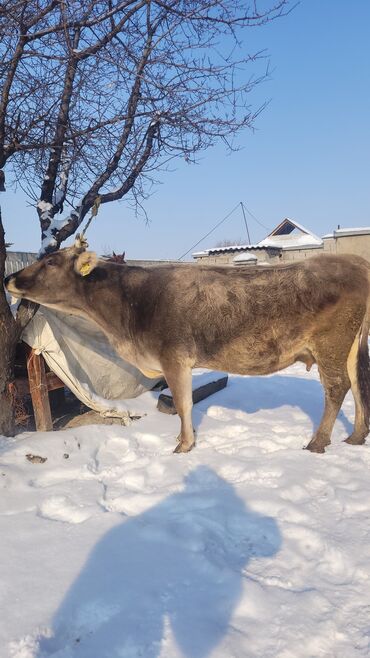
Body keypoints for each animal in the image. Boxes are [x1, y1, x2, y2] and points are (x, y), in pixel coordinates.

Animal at [5, 238, 370, 454]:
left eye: (51, 262)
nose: (9, 278)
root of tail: (355, 261)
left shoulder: (174, 356)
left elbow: (183, 404)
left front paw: (183, 445)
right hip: (352, 344)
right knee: (357, 382)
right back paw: (356, 436)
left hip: (330, 342)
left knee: (337, 386)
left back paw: (318, 442)